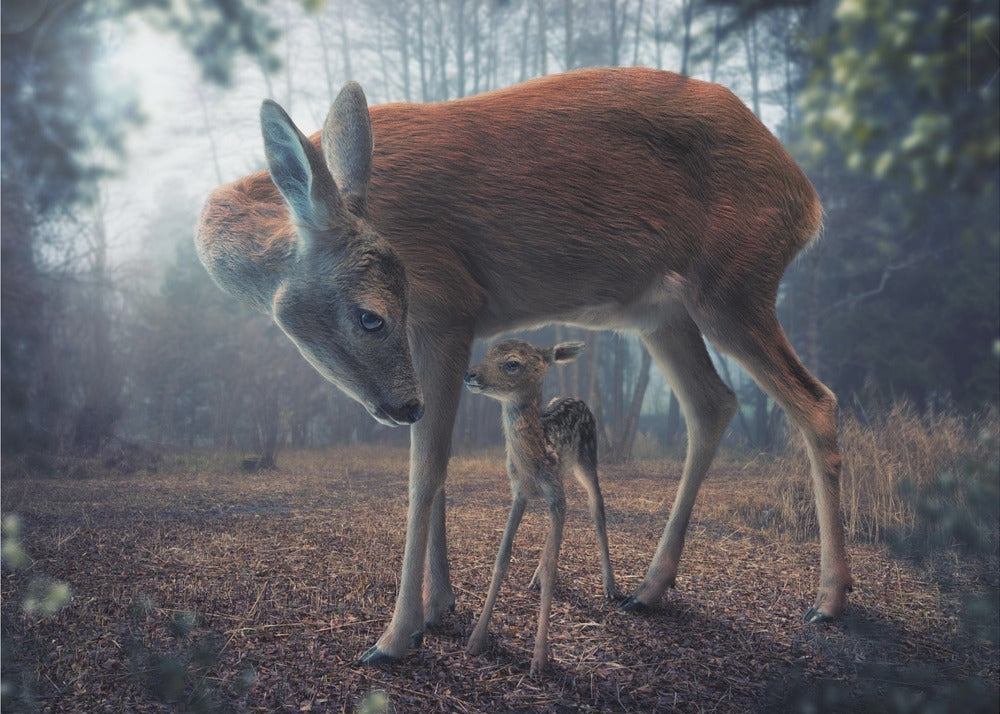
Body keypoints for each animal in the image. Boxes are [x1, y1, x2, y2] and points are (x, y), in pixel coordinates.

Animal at [199, 67, 856, 660]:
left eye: (373, 316)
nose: (402, 405)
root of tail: (809, 200)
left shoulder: (450, 303)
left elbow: (425, 472)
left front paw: (396, 635)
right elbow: (438, 464)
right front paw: (439, 608)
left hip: (733, 283)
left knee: (815, 401)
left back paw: (828, 601)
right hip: (661, 312)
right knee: (712, 403)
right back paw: (648, 588)